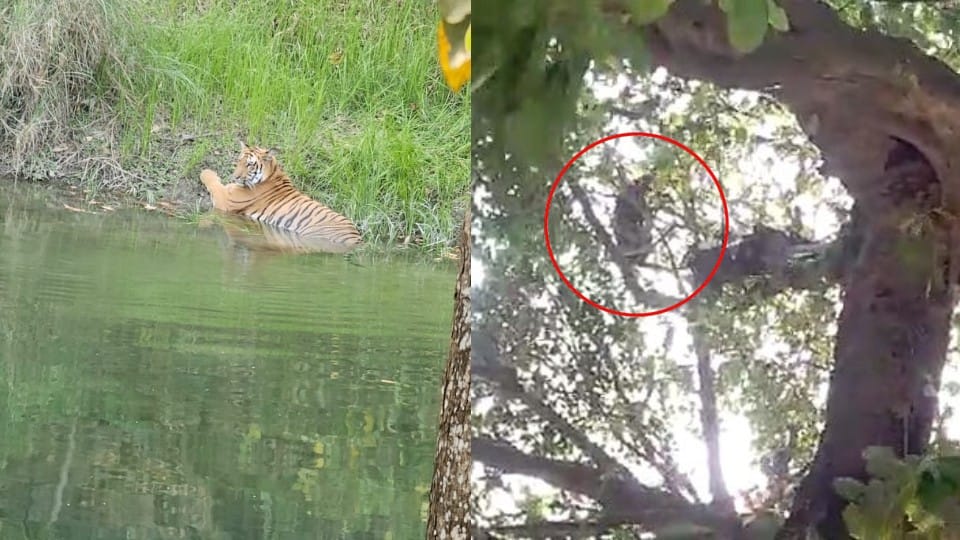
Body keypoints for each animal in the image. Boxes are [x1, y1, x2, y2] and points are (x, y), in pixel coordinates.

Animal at [199, 143, 362, 247]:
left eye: (249, 164)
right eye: (239, 161)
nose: (236, 177)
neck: (273, 173)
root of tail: (357, 239)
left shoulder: (226, 200)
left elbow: (212, 182)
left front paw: (205, 171)